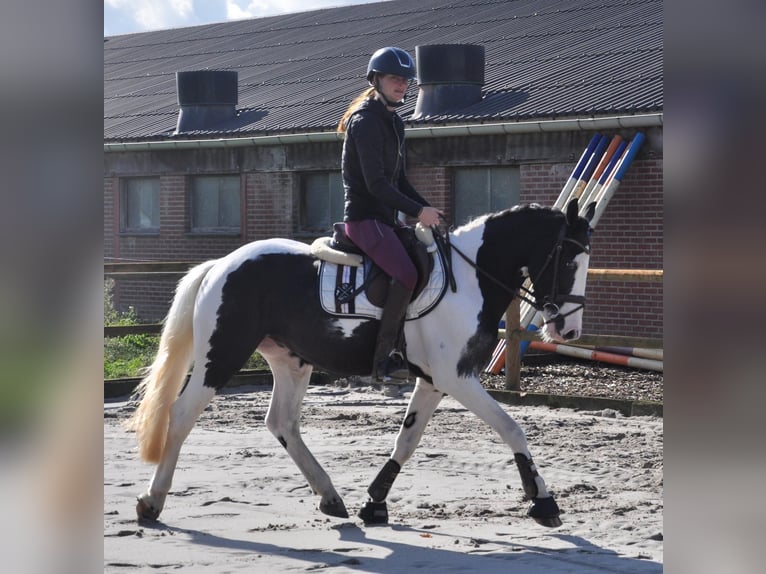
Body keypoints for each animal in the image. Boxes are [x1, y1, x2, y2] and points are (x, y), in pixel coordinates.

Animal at [126, 199, 596, 532]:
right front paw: (544, 502)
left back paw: (331, 497)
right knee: (181, 415)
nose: (569, 329)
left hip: (291, 362)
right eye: (570, 260)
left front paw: (375, 502)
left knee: (282, 423)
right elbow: (512, 428)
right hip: (222, 354)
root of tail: (221, 265)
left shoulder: (435, 381)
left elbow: (407, 441)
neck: (470, 279)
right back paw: (153, 500)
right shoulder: (457, 377)